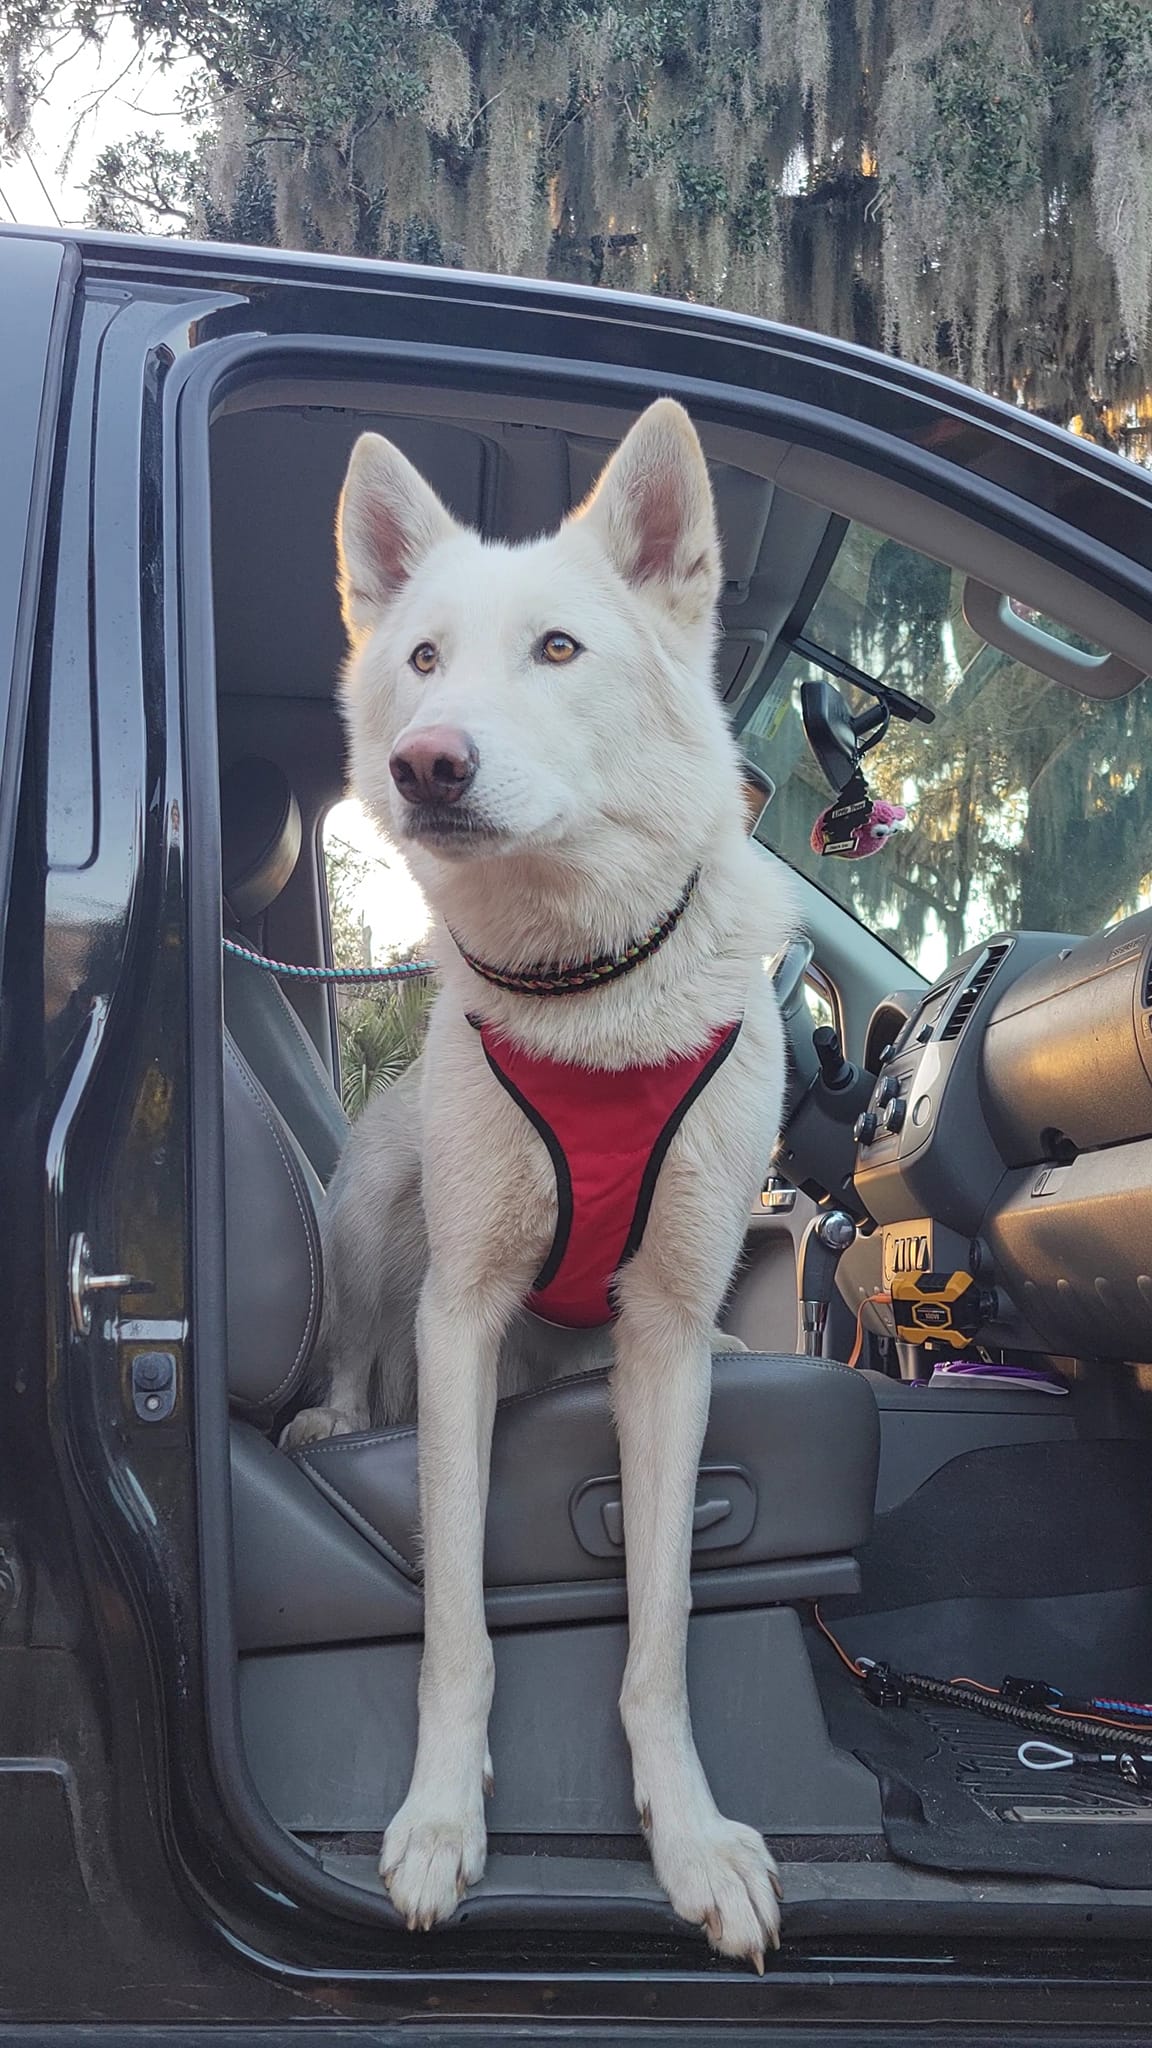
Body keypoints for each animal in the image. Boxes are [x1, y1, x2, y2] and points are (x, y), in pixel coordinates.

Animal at [286, 403, 787, 1966]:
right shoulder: (459, 1319)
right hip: (369, 1216)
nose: (427, 764)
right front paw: (444, 1820)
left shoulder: (667, 1341)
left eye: (559, 649)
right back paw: (333, 1413)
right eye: (422, 660)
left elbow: (662, 1629)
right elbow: (456, 1618)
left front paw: (688, 1837)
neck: (588, 993)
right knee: (356, 1350)